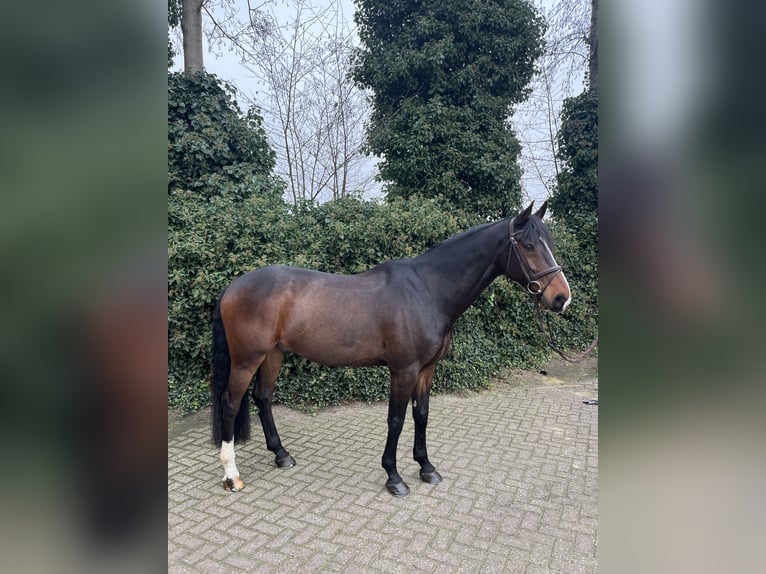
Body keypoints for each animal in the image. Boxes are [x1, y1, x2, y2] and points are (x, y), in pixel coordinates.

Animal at [210, 201, 571, 496]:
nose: (561, 297)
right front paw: (394, 477)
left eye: (550, 244)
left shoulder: (426, 369)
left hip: (273, 354)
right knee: (231, 402)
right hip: (247, 359)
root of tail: (232, 286)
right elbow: (396, 419)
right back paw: (231, 475)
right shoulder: (404, 369)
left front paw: (427, 468)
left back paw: (281, 455)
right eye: (528, 246)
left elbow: (422, 415)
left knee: (263, 398)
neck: (428, 290)